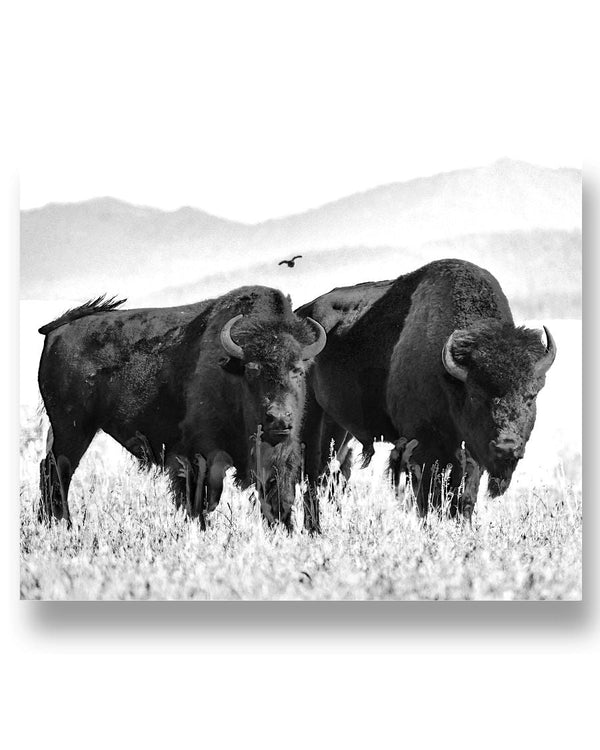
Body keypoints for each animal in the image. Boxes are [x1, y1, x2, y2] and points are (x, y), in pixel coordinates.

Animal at [37, 286, 326, 530]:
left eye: (297, 370)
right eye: (252, 371)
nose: (278, 419)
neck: (230, 372)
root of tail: (57, 331)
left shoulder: (282, 453)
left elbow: (278, 494)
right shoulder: (200, 454)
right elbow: (201, 499)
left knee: (50, 470)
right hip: (72, 430)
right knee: (58, 471)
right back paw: (62, 525)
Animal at [296, 259, 556, 528]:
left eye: (531, 396)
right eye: (476, 395)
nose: (507, 447)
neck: (450, 378)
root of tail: (301, 313)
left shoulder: (469, 454)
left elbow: (463, 497)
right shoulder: (424, 448)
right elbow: (428, 499)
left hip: (340, 429)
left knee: (330, 474)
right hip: (312, 421)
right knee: (312, 477)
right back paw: (313, 528)